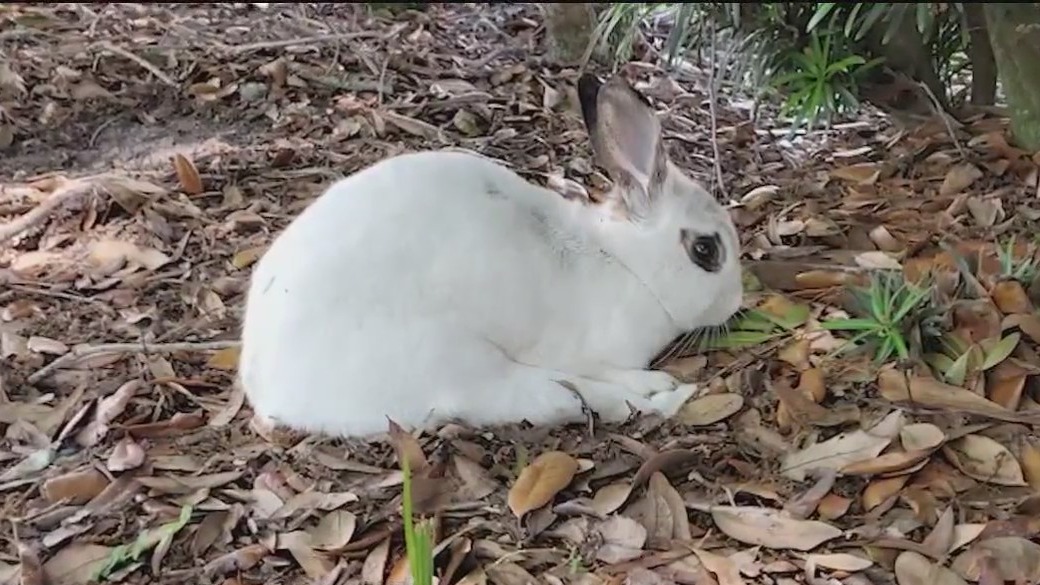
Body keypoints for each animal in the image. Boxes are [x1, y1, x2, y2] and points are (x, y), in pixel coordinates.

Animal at [238, 73, 744, 440]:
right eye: (705, 250)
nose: (737, 302)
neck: (628, 264)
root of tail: (268, 390)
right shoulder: (588, 352)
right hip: (458, 362)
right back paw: (664, 398)